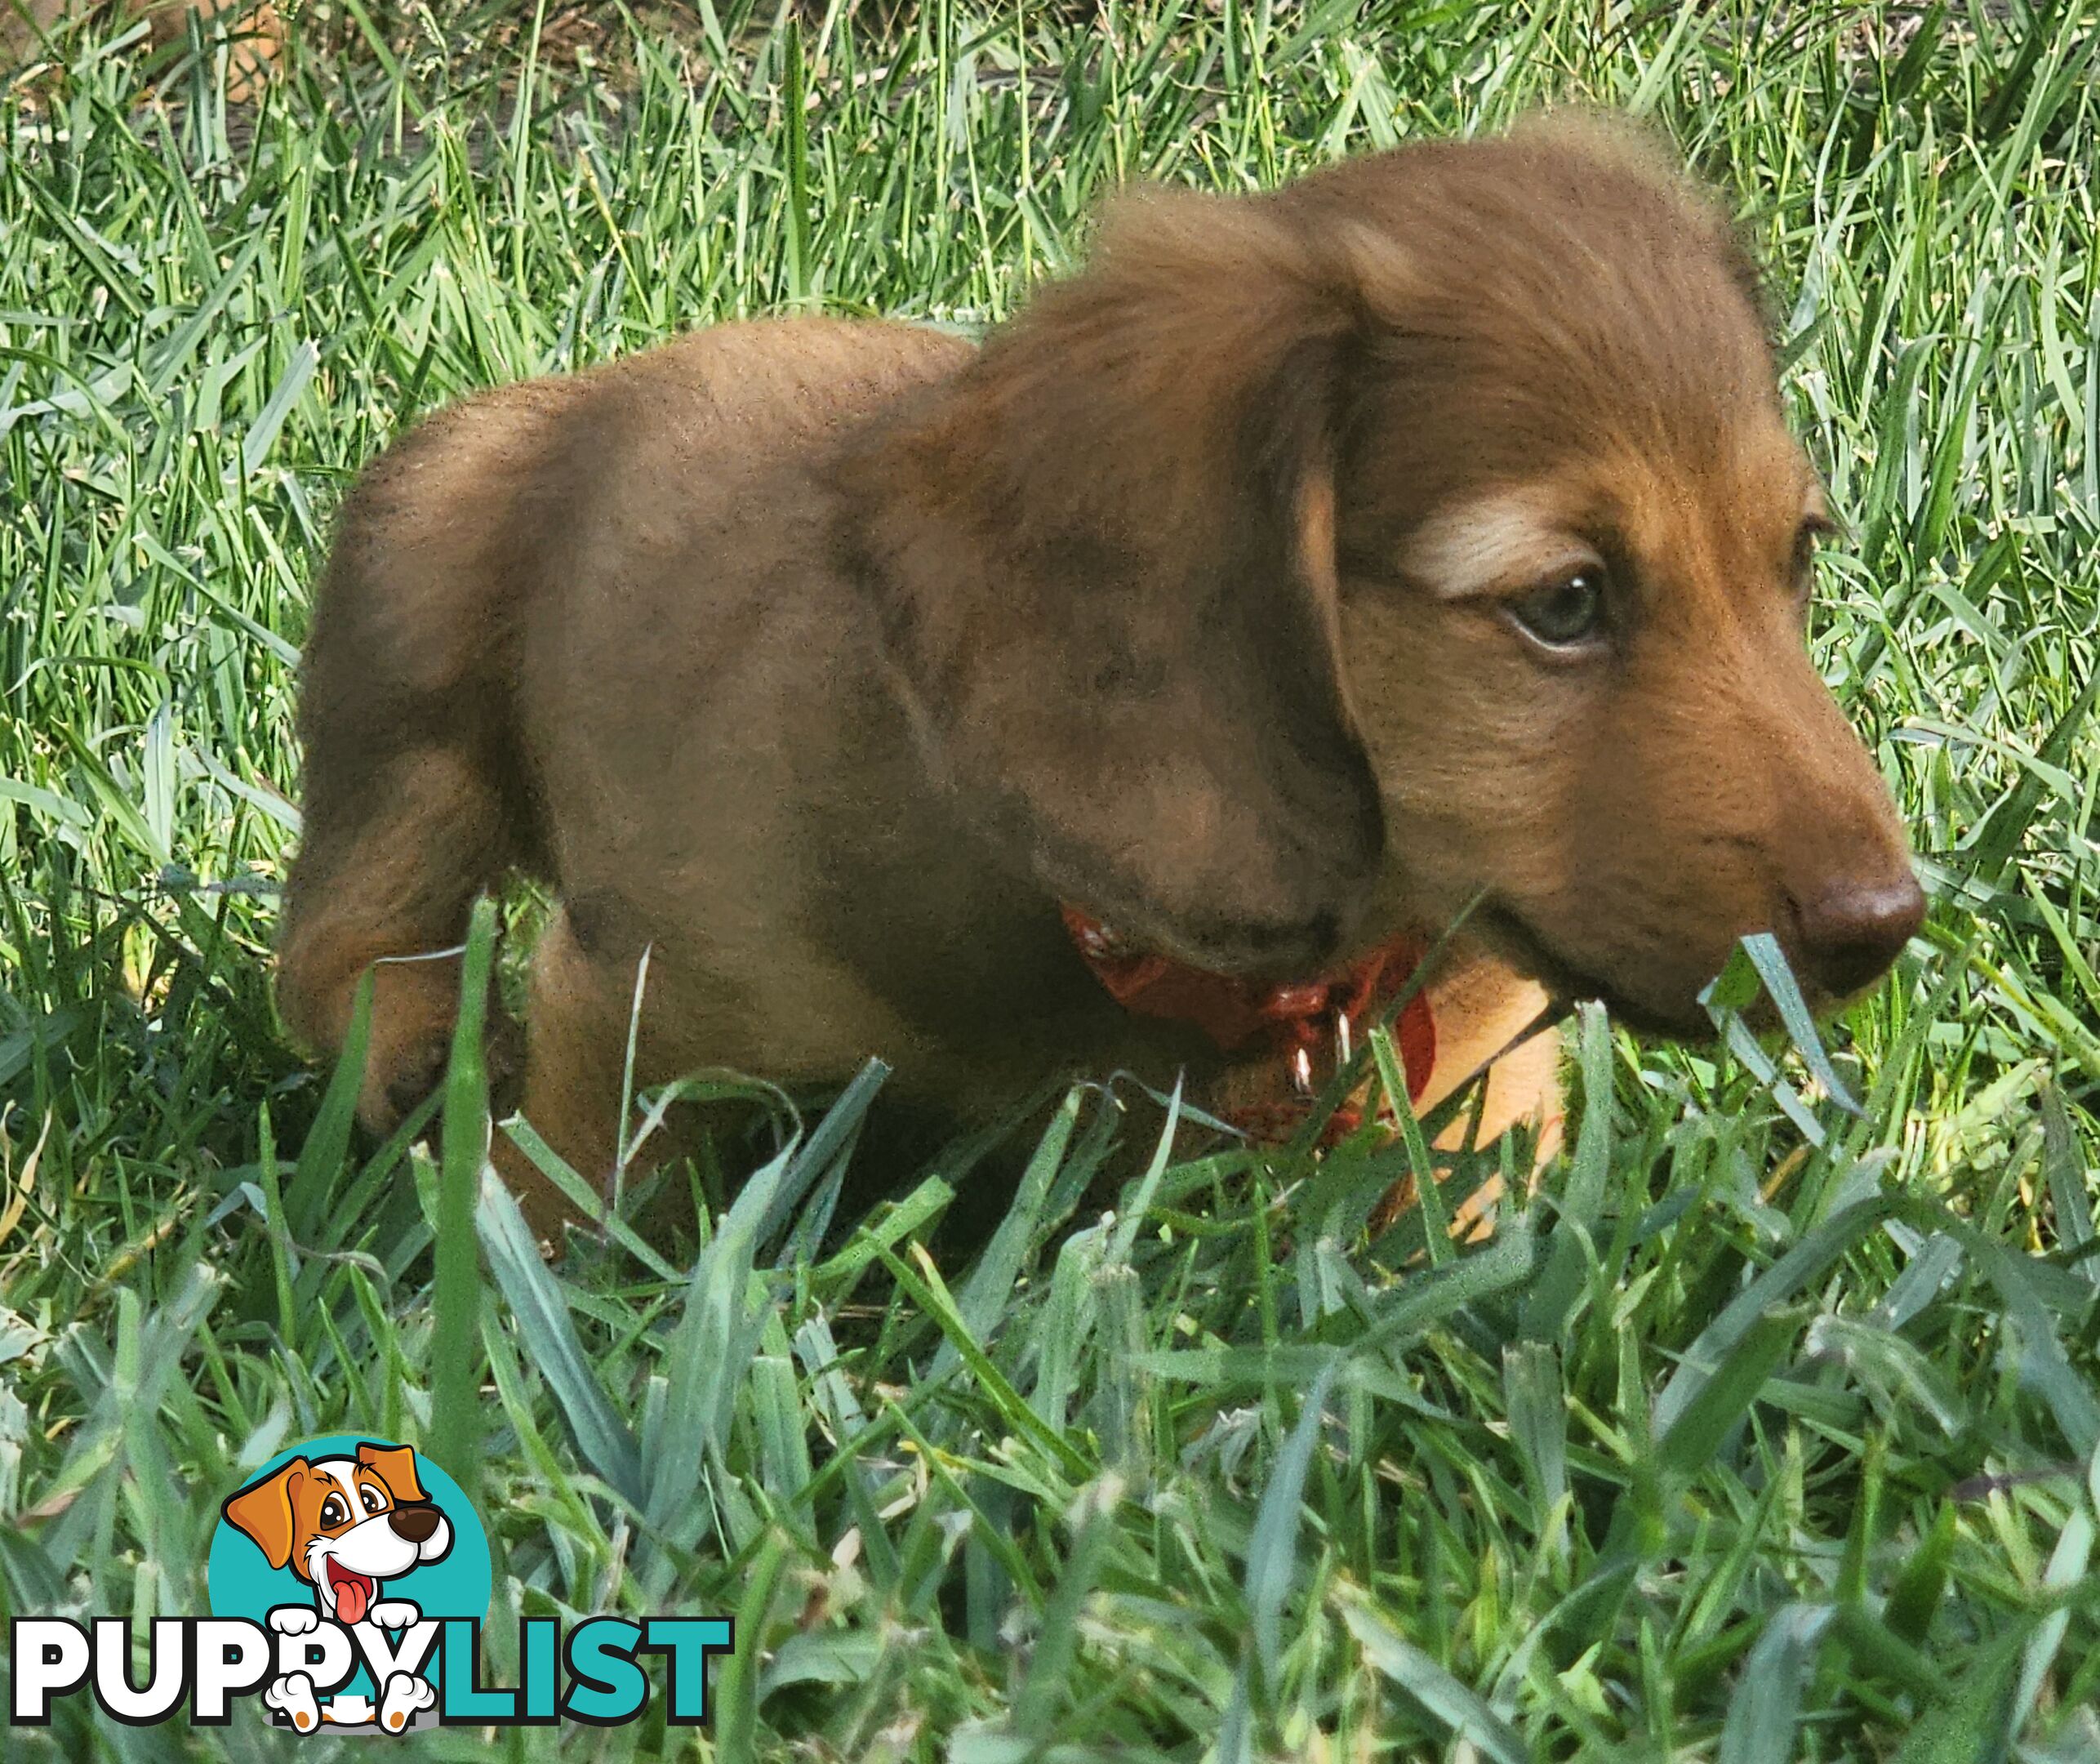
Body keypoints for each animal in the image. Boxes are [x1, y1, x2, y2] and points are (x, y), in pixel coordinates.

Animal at [274, 114, 1923, 1243]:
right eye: (1566, 604)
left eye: (1794, 562)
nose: (1885, 926)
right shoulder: (637, 1007)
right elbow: (572, 1205)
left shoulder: (1478, 1057)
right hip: (421, 582)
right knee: (343, 932)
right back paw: (403, 1047)